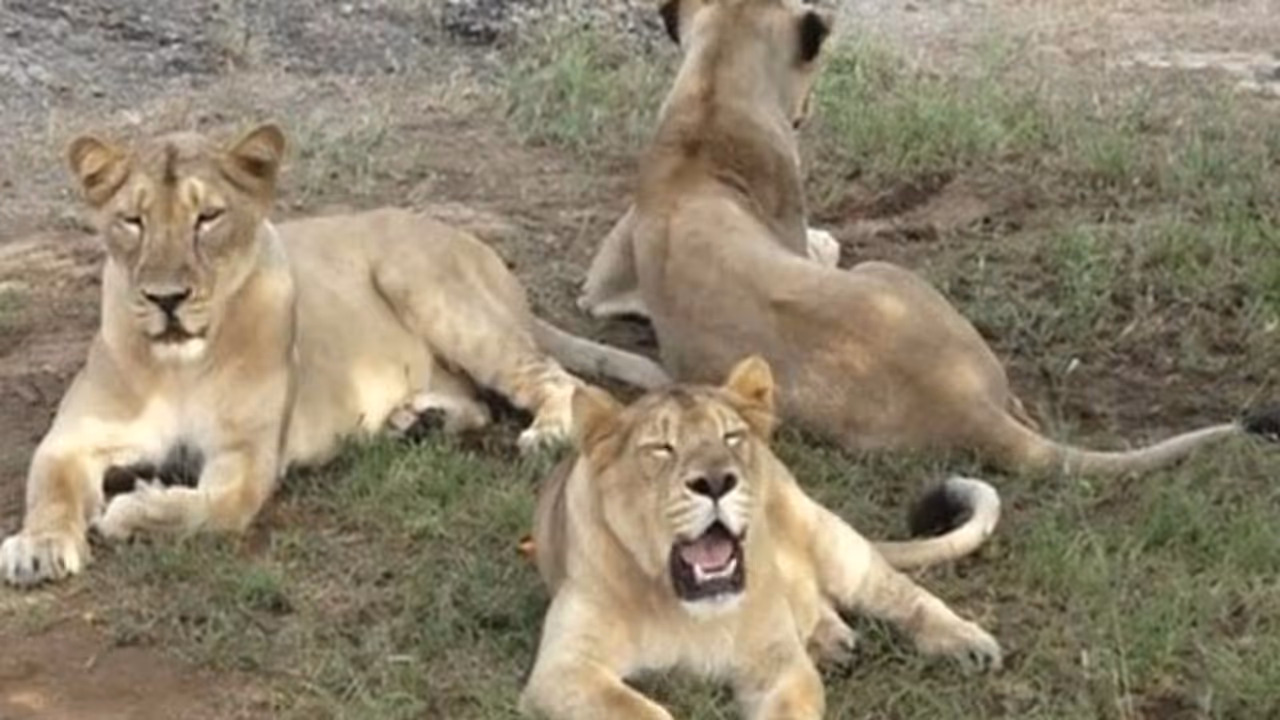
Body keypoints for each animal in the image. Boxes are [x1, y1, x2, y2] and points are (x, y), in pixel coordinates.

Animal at [0, 123, 670, 587]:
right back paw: (419, 420)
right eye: (132, 221)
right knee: (479, 402)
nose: (166, 298)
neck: (179, 364)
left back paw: (546, 431)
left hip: (426, 284)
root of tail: (478, 246)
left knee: (563, 382)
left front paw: (131, 511)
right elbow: (50, 489)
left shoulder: (249, 459)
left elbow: (213, 509)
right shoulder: (74, 438)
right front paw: (38, 547)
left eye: (208, 218)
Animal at [520, 356, 1003, 720]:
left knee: (905, 596)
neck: (682, 605)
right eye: (662, 448)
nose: (717, 481)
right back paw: (832, 641)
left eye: (731, 436)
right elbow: (640, 711)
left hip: (832, 541)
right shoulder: (564, 669)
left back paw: (970, 643)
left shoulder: (781, 667)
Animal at [577, 0, 1280, 477]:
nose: (808, 110)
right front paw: (830, 240)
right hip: (890, 275)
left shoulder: (603, 279)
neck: (712, 95)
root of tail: (966, 407)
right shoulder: (796, 228)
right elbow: (824, 244)